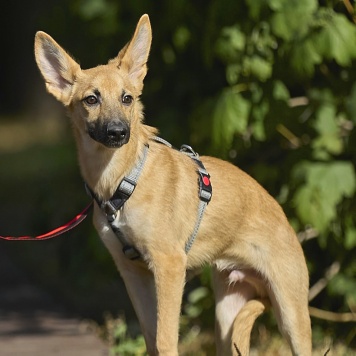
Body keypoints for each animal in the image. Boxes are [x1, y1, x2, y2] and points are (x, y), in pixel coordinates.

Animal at [34, 14, 312, 356]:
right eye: (91, 99)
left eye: (127, 98)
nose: (117, 132)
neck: (122, 181)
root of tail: (283, 217)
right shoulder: (133, 274)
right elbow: (151, 340)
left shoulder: (169, 266)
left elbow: (165, 340)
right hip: (227, 316)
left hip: (291, 314)